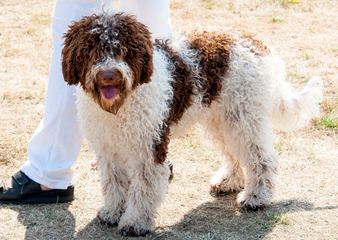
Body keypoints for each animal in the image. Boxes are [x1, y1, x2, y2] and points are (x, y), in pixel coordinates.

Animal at [60, 13, 322, 236]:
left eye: (123, 51)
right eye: (90, 51)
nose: (108, 76)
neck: (119, 107)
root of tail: (253, 42)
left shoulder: (149, 149)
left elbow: (143, 188)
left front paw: (135, 222)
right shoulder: (108, 149)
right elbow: (113, 184)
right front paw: (113, 213)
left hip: (244, 118)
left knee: (261, 159)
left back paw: (257, 197)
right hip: (222, 119)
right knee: (234, 154)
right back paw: (229, 182)